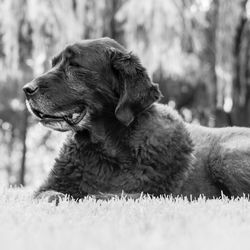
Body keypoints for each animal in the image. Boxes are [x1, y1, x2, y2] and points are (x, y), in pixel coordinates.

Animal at [23, 36, 250, 201]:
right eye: (54, 64)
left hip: (224, 155)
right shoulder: (48, 186)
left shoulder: (149, 194)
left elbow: (101, 196)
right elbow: (48, 195)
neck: (107, 149)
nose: (27, 89)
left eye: (74, 65)